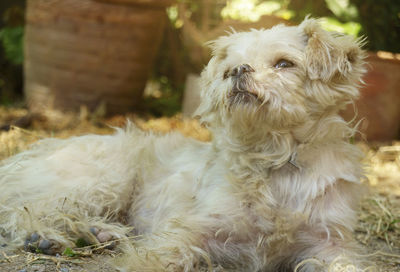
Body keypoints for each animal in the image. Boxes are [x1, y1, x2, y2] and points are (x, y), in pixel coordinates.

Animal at [0, 18, 366, 270]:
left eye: (284, 64)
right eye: (228, 68)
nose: (237, 70)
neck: (274, 161)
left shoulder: (328, 245)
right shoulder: (188, 230)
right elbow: (155, 258)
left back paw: (97, 233)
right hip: (105, 176)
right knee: (23, 209)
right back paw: (43, 237)